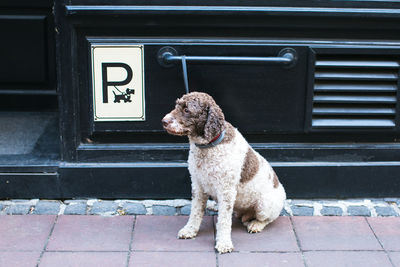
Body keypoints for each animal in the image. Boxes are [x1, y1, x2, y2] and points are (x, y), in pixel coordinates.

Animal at [161, 92, 286, 255]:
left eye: (187, 110)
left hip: (264, 205)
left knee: (268, 219)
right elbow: (195, 211)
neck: (208, 147)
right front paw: (190, 230)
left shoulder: (226, 190)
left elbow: (224, 220)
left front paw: (224, 243)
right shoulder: (197, 185)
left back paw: (256, 224)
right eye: (177, 105)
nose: (163, 121)